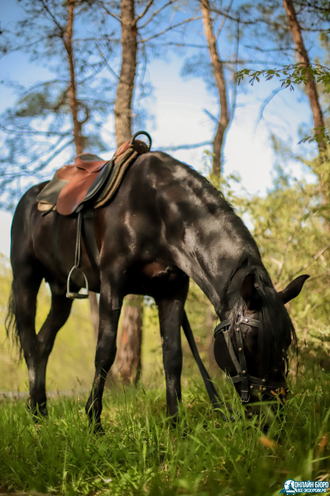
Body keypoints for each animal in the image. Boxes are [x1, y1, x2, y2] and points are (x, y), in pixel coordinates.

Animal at [6, 151, 308, 430]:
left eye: (285, 342)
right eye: (251, 344)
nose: (274, 414)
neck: (158, 212)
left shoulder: (172, 293)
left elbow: (172, 356)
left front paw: (177, 426)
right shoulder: (112, 285)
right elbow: (104, 352)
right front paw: (93, 422)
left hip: (60, 291)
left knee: (43, 343)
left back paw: (40, 411)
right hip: (26, 279)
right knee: (30, 343)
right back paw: (35, 416)